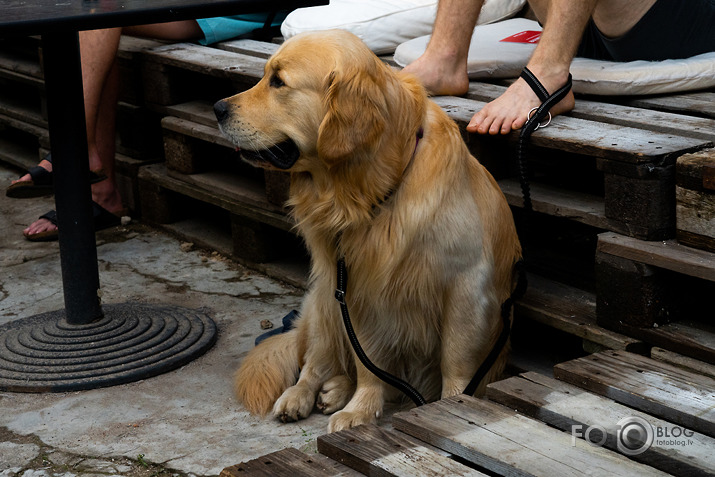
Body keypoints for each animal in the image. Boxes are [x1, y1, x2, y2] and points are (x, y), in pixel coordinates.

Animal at [215, 28, 524, 432]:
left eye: (278, 81)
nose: (217, 108)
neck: (370, 192)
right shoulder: (357, 288)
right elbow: (368, 363)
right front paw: (359, 409)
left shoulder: (466, 289)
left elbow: (455, 363)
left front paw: (451, 407)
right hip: (324, 302)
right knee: (314, 363)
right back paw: (305, 395)